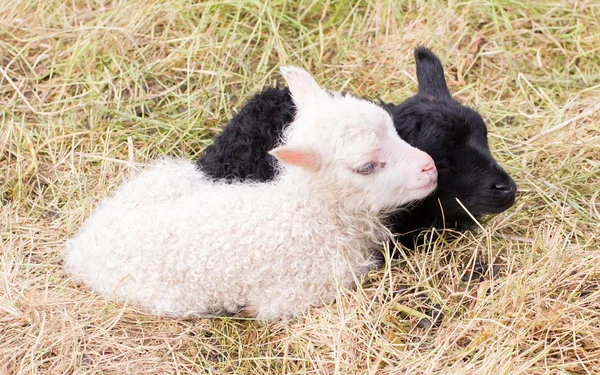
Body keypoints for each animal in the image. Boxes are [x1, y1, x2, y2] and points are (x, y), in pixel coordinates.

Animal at [64, 67, 436, 320]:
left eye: (393, 128)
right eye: (366, 166)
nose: (429, 167)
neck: (310, 215)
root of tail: (80, 247)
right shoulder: (295, 294)